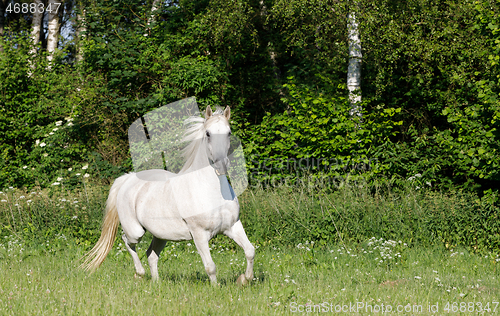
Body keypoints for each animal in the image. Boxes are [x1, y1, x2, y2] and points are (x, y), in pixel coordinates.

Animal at [81, 107, 256, 286]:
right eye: (208, 133)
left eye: (228, 132)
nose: (221, 164)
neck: (212, 191)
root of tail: (128, 178)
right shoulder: (199, 234)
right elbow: (210, 266)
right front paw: (216, 287)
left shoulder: (233, 226)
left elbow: (250, 251)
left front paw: (244, 279)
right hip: (135, 231)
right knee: (127, 241)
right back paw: (140, 273)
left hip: (161, 235)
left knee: (151, 255)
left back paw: (156, 283)